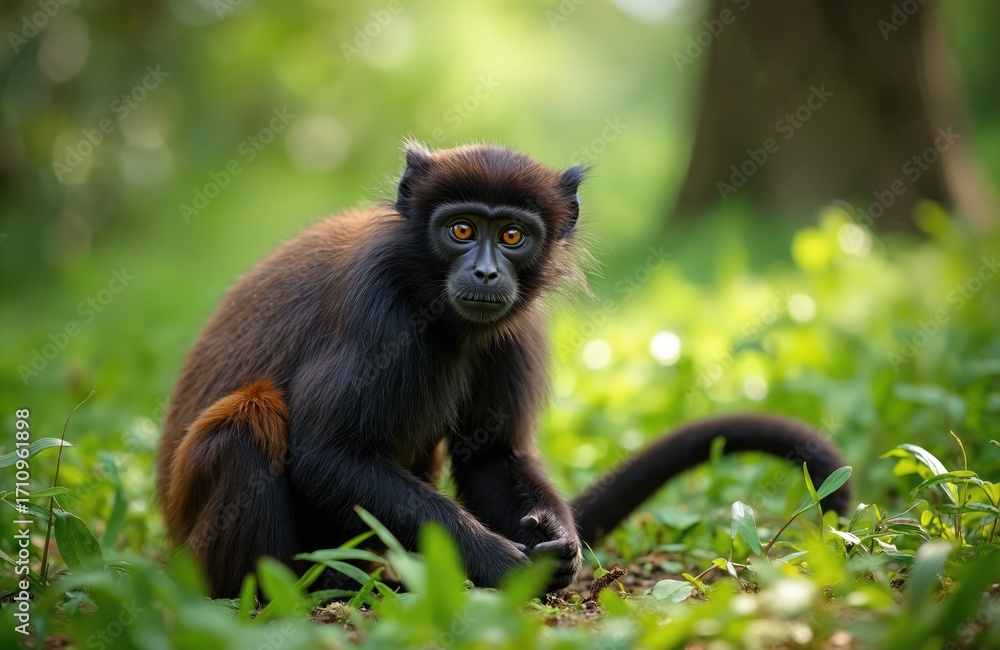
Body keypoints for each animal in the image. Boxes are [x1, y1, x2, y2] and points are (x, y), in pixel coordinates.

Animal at [157, 143, 851, 598]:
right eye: (462, 229)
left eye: (513, 236)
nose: (488, 272)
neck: (427, 292)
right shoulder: (376, 305)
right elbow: (328, 452)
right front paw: (502, 564)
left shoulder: (515, 330)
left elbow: (493, 457)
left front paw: (557, 545)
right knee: (246, 424)